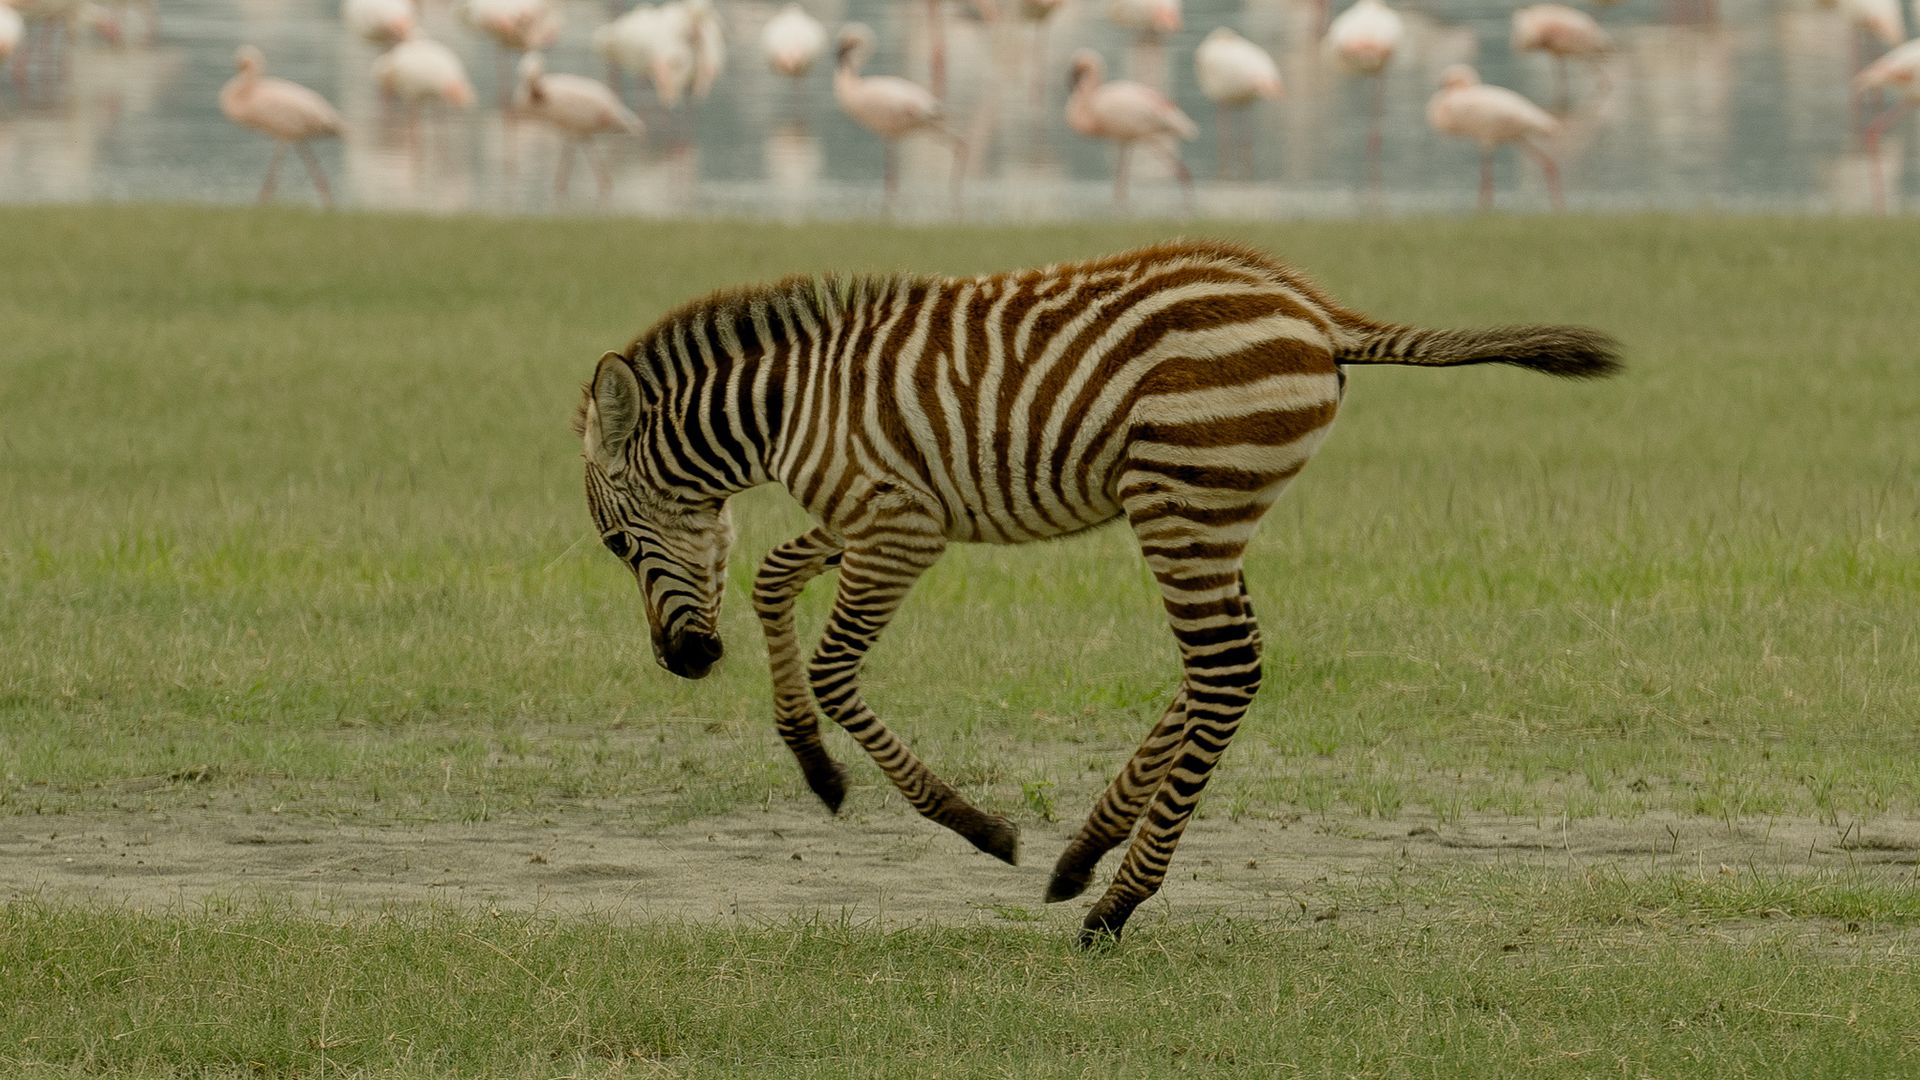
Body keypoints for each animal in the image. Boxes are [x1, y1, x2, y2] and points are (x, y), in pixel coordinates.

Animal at [576, 240, 1619, 944]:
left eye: (619, 545)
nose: (683, 663)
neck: (788, 408)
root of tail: (1311, 309)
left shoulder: (901, 526)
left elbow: (836, 669)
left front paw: (979, 829)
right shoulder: (866, 518)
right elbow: (769, 578)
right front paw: (816, 770)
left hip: (1179, 495)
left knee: (1225, 669)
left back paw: (1115, 903)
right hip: (1208, 508)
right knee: (1220, 669)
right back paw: (1086, 854)